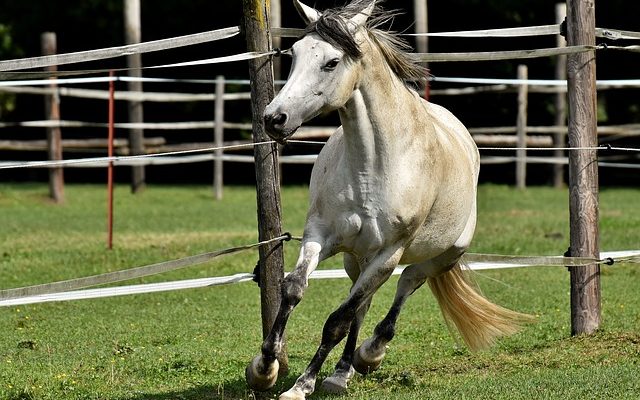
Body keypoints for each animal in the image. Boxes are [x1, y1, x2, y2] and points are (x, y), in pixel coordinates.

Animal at [245, 1, 528, 398]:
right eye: (294, 54)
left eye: (332, 62)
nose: (274, 118)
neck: (373, 165)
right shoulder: (320, 235)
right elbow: (293, 290)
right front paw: (264, 368)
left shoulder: (388, 252)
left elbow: (337, 321)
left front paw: (301, 384)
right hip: (357, 259)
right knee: (362, 303)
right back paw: (342, 372)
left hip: (435, 258)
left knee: (403, 286)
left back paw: (369, 354)